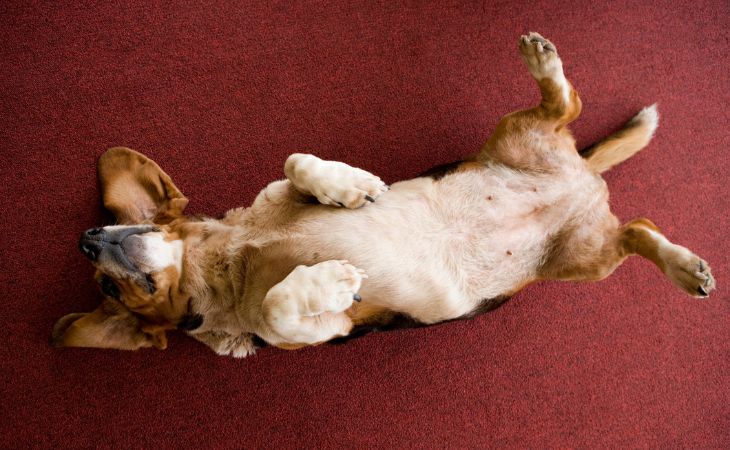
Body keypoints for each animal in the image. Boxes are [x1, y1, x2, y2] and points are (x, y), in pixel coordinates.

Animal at [52, 33, 716, 356]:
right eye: (108, 290)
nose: (89, 238)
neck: (230, 263)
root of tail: (582, 178)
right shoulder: (319, 331)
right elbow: (277, 307)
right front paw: (329, 278)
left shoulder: (279, 187)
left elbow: (296, 162)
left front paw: (350, 186)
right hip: (585, 259)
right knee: (637, 227)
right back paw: (686, 268)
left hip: (518, 143)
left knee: (569, 107)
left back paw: (542, 61)